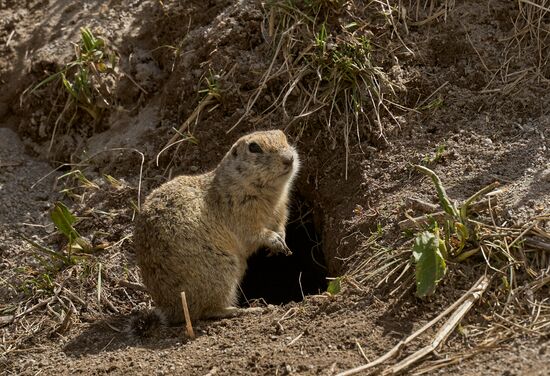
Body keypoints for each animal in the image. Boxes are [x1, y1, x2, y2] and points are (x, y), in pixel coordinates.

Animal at [134, 129, 302, 324]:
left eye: (284, 136)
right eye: (254, 147)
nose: (289, 158)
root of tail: (170, 310)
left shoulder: (281, 209)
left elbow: (280, 224)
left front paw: (281, 241)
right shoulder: (240, 213)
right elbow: (253, 233)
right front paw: (274, 240)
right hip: (221, 269)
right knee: (206, 311)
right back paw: (243, 310)